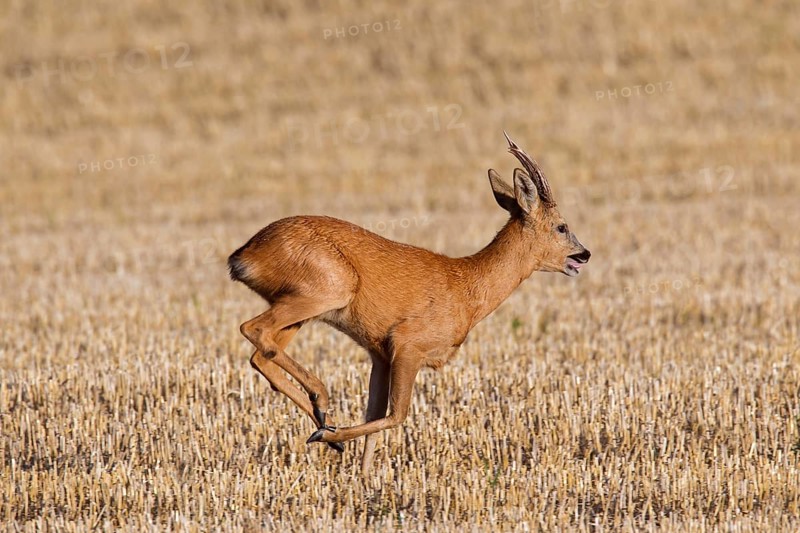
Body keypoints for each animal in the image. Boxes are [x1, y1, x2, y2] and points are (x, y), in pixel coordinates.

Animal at [228, 133, 591, 477]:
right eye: (561, 226)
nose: (584, 254)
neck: (467, 287)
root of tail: (244, 255)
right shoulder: (407, 344)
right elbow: (398, 414)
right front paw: (330, 438)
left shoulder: (379, 352)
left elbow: (375, 414)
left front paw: (362, 474)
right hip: (329, 289)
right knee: (253, 329)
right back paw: (322, 406)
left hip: (301, 305)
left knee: (260, 353)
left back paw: (322, 417)